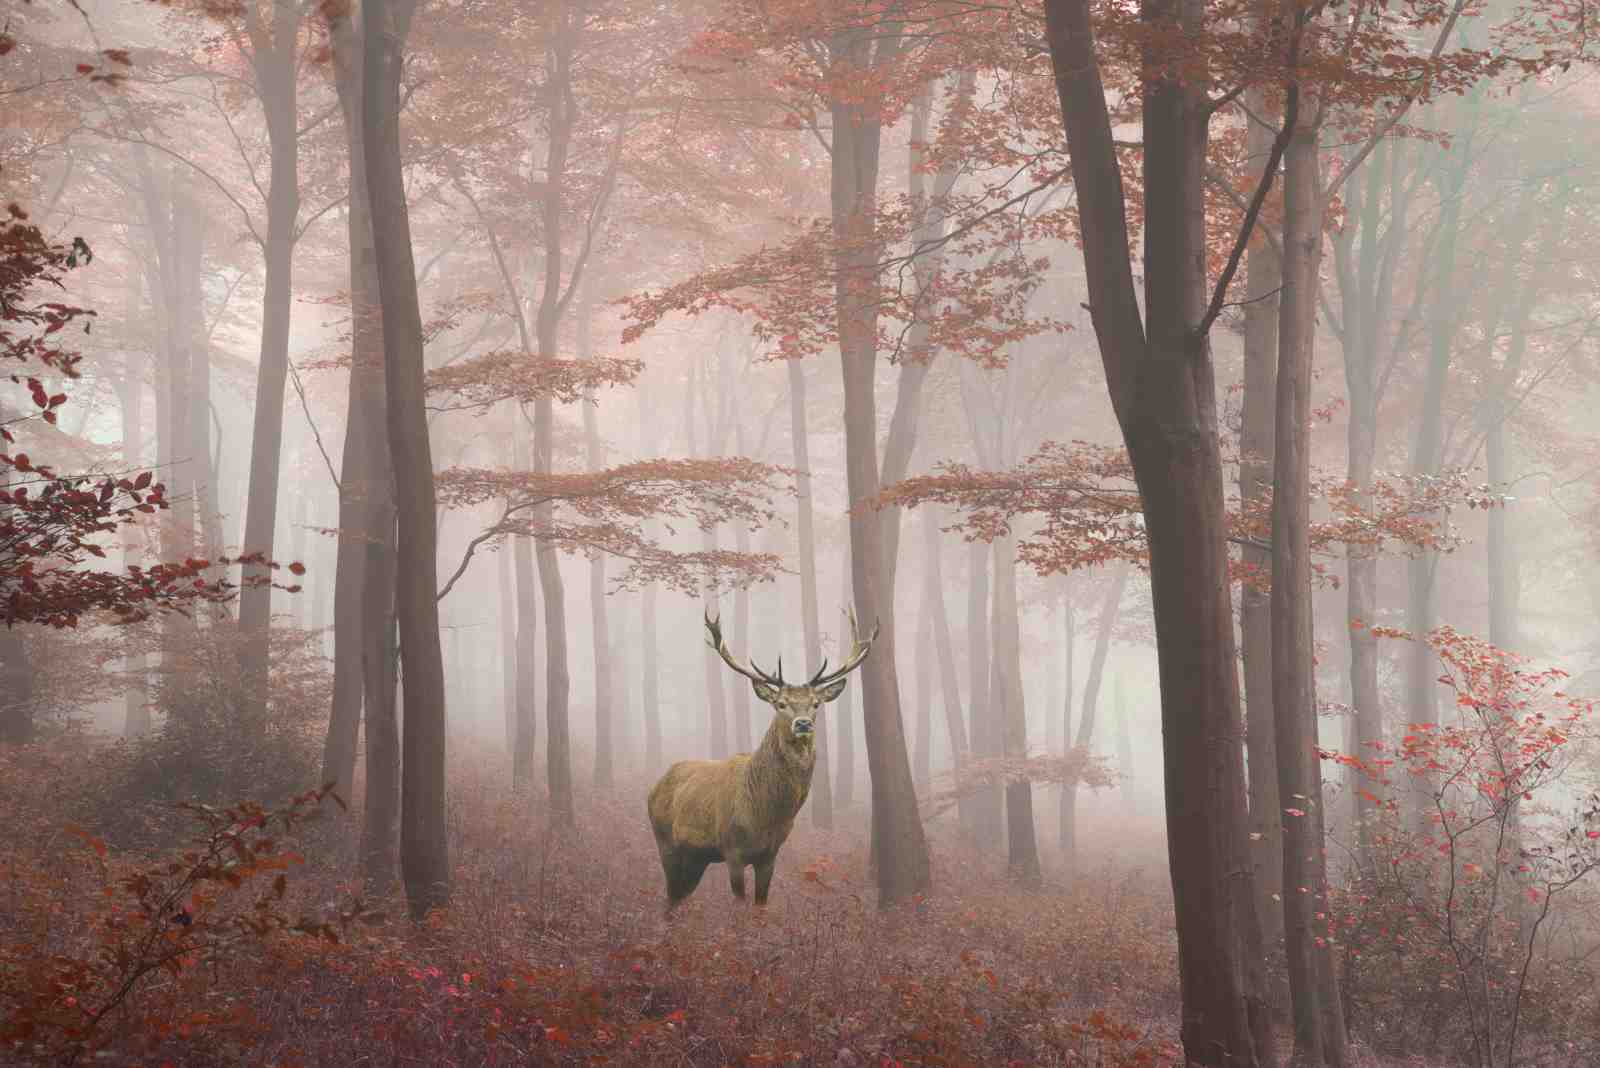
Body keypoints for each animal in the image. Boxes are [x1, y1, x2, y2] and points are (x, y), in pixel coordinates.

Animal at [647, 609, 878, 911]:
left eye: (816, 704)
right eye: (780, 703)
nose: (803, 724)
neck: (765, 815)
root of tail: (654, 787)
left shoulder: (770, 855)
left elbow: (760, 905)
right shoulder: (732, 849)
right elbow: (739, 903)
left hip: (697, 857)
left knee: (678, 896)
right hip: (665, 841)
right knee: (670, 894)